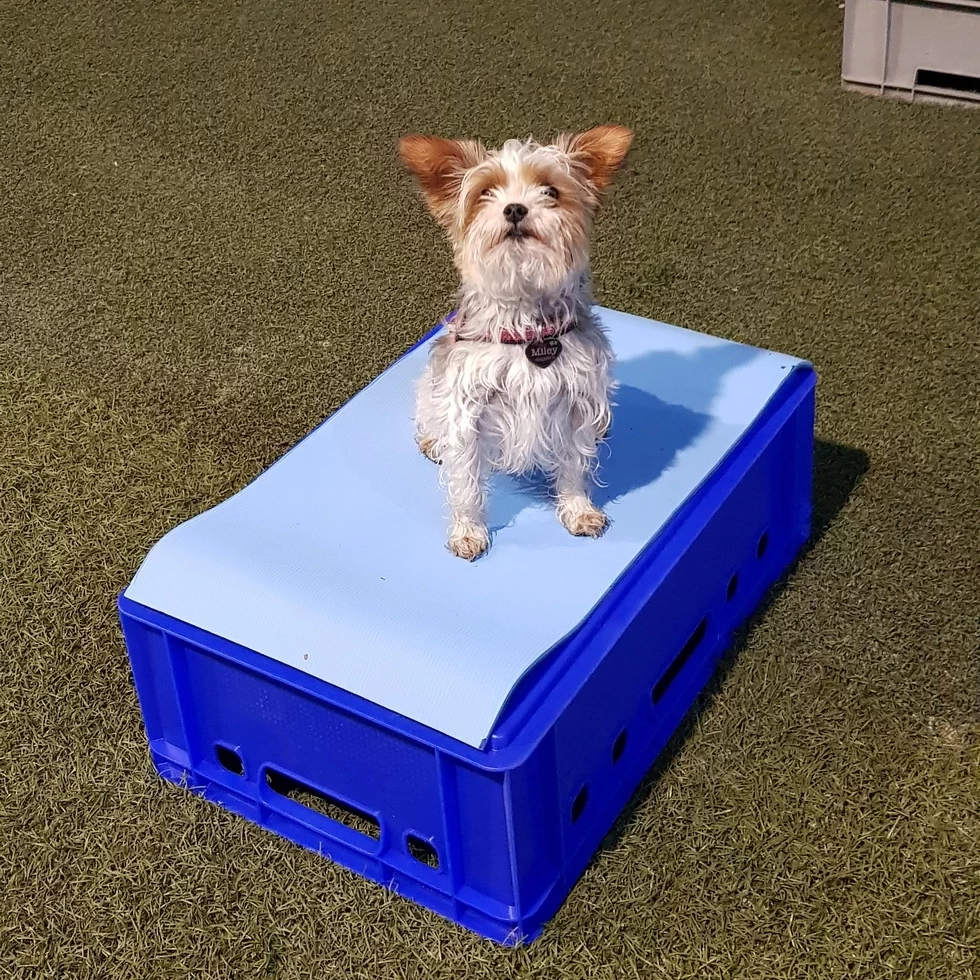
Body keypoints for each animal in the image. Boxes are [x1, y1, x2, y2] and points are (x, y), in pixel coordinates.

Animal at [399, 125, 633, 560]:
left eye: (550, 190)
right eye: (485, 192)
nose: (515, 209)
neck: (526, 322)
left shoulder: (576, 404)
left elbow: (574, 467)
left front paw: (578, 510)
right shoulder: (467, 410)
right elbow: (466, 483)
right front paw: (468, 531)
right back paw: (431, 440)